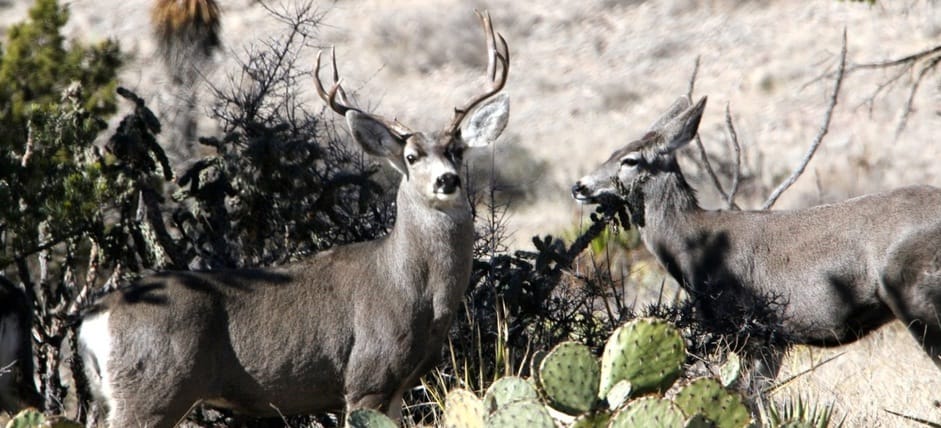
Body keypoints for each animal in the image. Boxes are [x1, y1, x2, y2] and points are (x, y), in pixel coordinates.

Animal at [77, 11, 510, 426]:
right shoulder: (366, 377)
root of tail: (94, 320)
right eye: (411, 157)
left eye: (457, 150)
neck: (410, 286)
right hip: (151, 391)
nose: (447, 179)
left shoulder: (397, 388)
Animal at [568, 97, 940, 392]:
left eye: (630, 160)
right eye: (613, 151)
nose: (579, 186)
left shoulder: (753, 328)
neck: (693, 246)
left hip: (917, 296)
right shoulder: (770, 337)